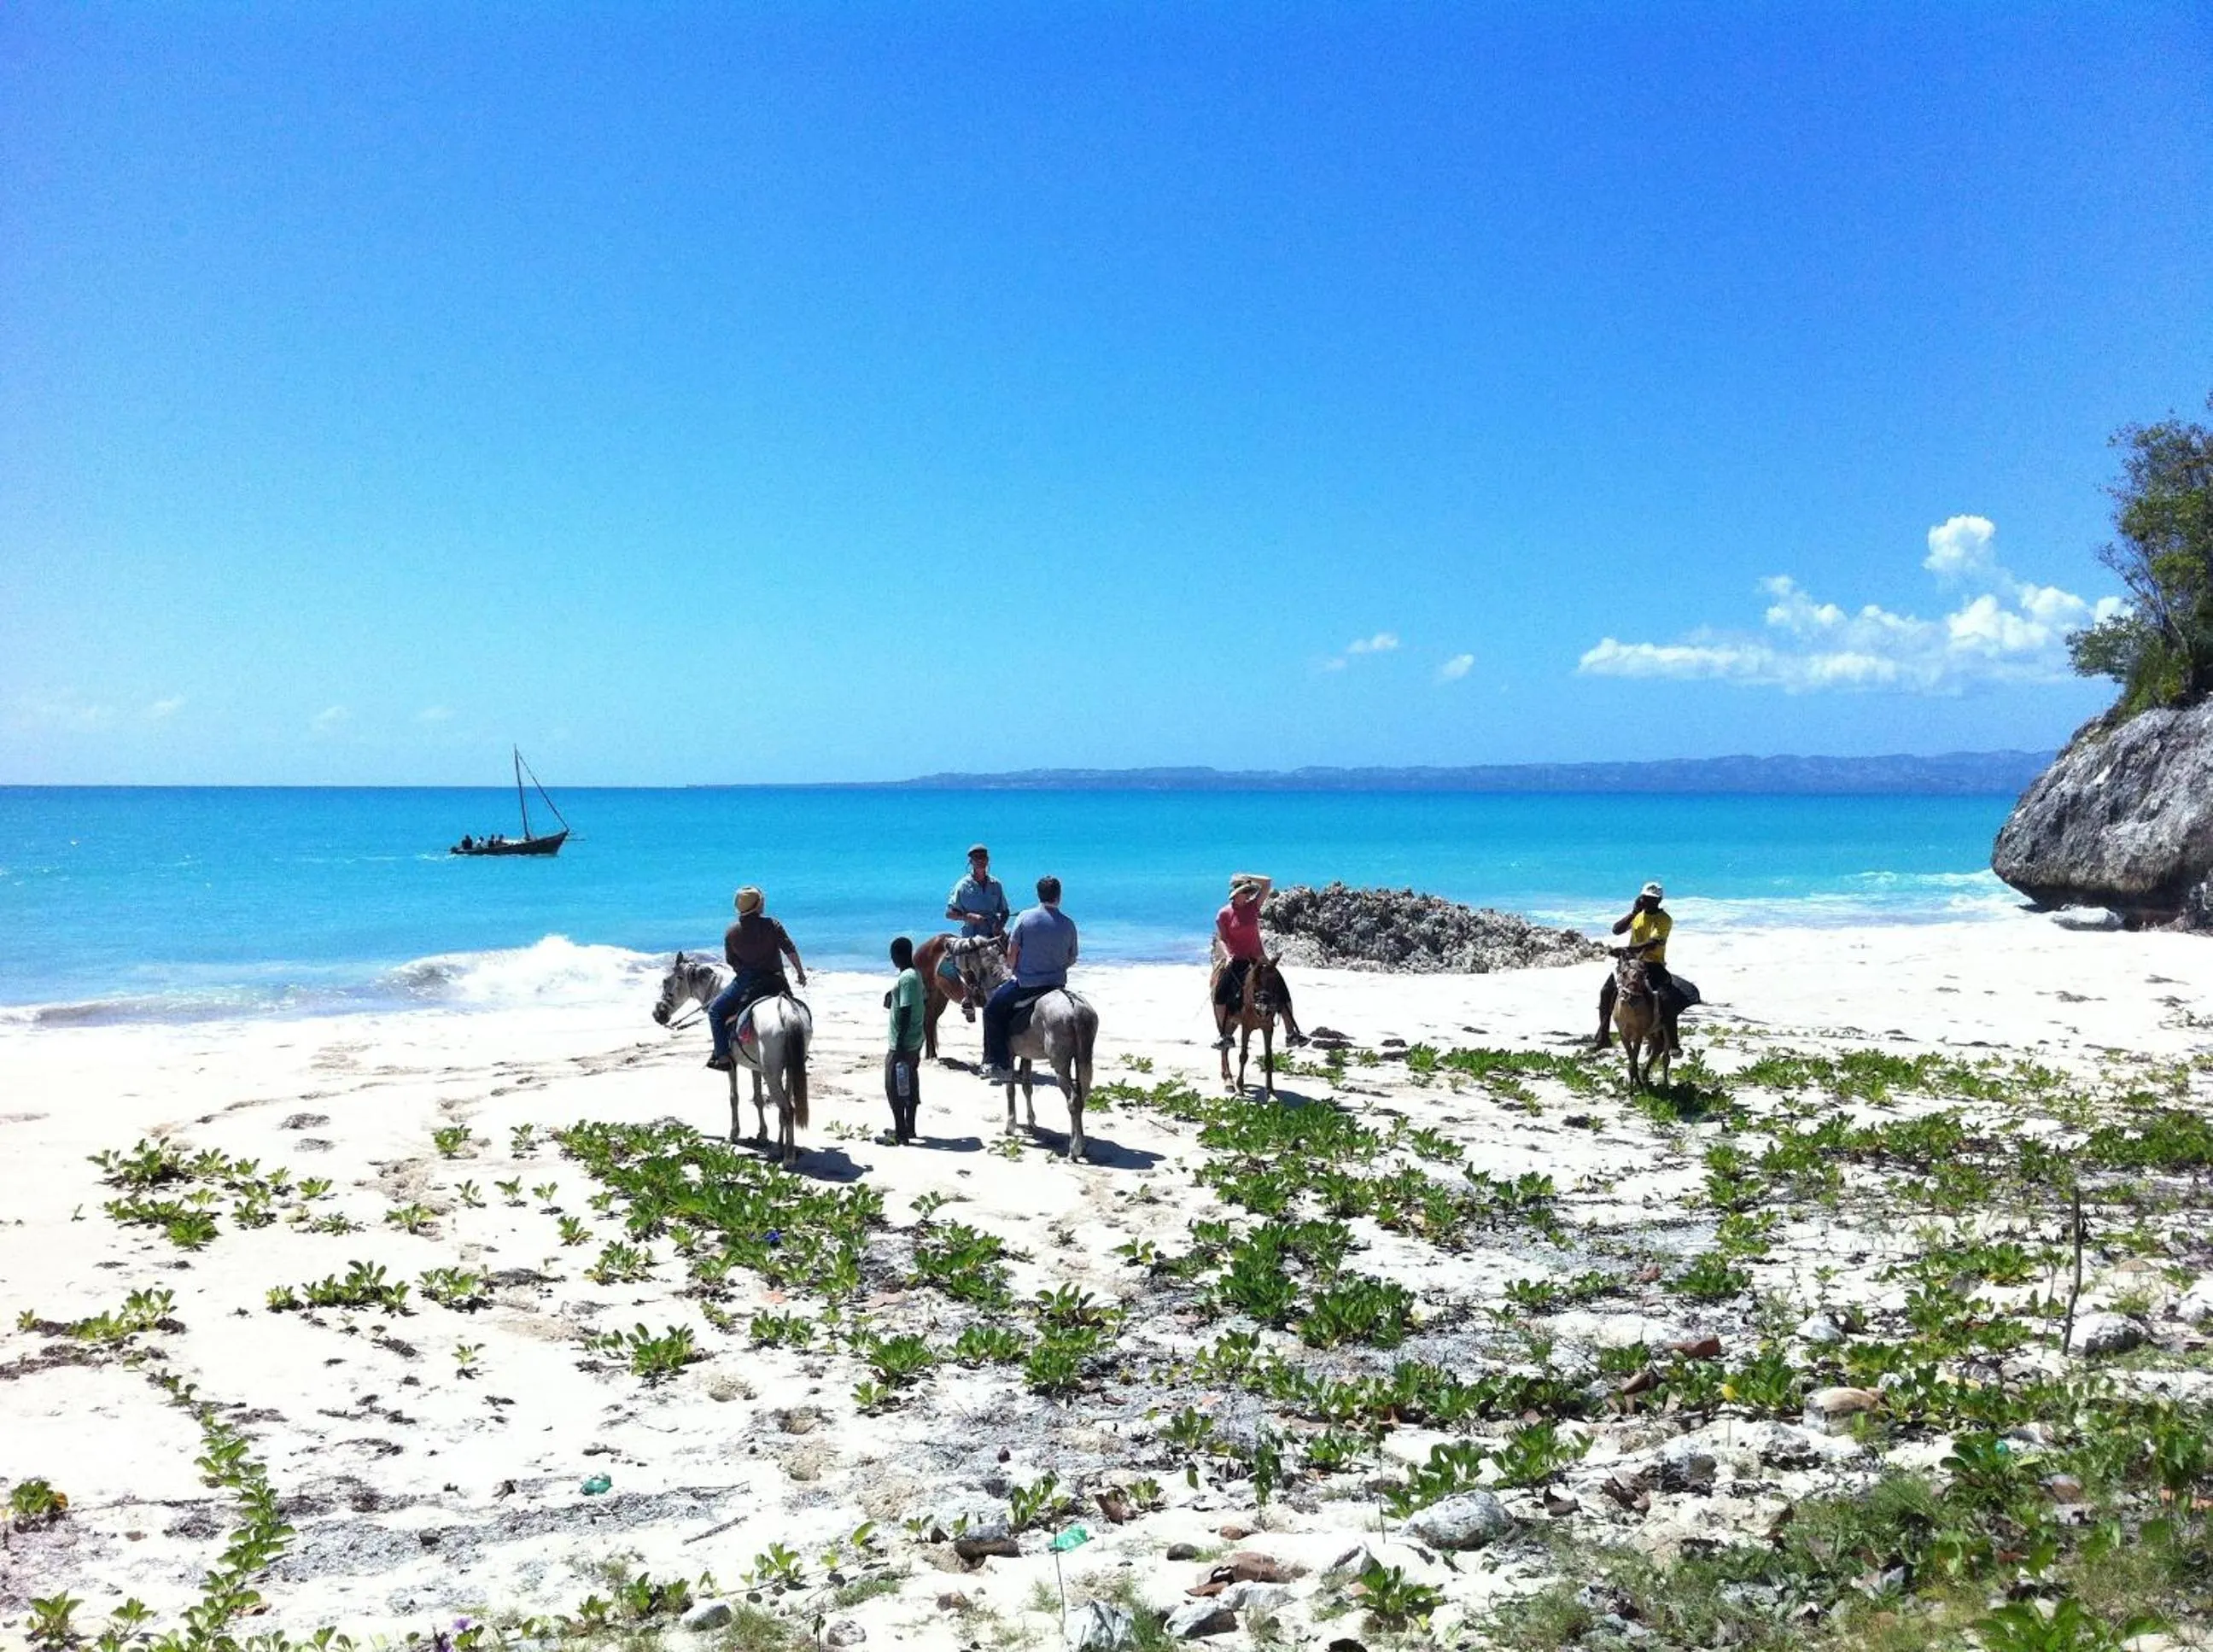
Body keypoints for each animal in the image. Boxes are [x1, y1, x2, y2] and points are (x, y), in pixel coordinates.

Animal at [652, 953, 814, 1167]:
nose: (658, 1014)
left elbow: (734, 1097)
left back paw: (788, 1158)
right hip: (789, 1069)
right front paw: (762, 1135)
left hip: (772, 1074)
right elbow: (758, 1099)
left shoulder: (732, 1064)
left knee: (787, 1109)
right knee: (784, 1108)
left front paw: (733, 1134)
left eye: (666, 981)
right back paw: (779, 1148)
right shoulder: (756, 1068)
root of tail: (787, 1011)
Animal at [943, 934, 1099, 1161]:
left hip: (1060, 1064)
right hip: (1084, 1059)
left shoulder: (1009, 1056)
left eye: (963, 945)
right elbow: (1027, 1087)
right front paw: (1031, 1121)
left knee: (1073, 1100)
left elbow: (1010, 1089)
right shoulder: (1027, 1056)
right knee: (1083, 1095)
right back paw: (1082, 1143)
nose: (946, 943)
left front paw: (1010, 1125)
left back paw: (1075, 1149)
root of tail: (1073, 1005)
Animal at [1213, 951, 1293, 1097]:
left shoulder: (1268, 1028)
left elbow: (1268, 1058)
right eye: (1254, 981)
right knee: (1224, 1047)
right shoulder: (1247, 1027)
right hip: (1223, 1020)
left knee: (1225, 1047)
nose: (1263, 1006)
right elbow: (1243, 1056)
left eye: (1274, 981)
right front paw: (1240, 1087)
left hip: (1233, 1024)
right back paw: (1228, 1081)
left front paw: (1270, 1090)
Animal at [1608, 943, 1671, 1092]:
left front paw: (1632, 1090)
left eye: (1644, 974)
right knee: (1657, 1046)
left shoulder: (1638, 1035)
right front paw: (1637, 1085)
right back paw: (1645, 1078)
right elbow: (1633, 1061)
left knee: (1666, 1057)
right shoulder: (1623, 1035)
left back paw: (1665, 1085)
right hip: (1650, 1032)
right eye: (1623, 973)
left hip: (1664, 1028)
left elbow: (1633, 1062)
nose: (1630, 997)